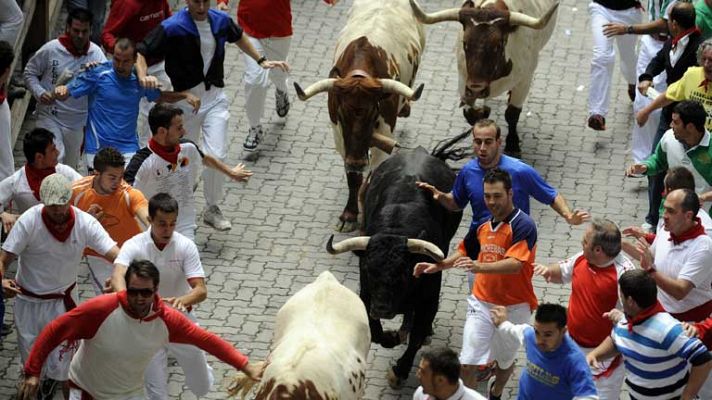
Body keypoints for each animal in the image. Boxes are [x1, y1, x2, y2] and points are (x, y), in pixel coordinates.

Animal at [294, 0, 422, 231]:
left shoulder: (384, 137)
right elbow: (353, 178)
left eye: (374, 112)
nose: (356, 162)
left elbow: (373, 176)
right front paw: (349, 214)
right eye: (342, 114)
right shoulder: (340, 138)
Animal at [328, 147, 462, 388]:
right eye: (368, 270)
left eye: (403, 273)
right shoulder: (366, 294)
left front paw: (399, 371)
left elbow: (416, 337)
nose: (382, 308)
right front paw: (391, 337)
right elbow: (375, 330)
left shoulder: (429, 298)